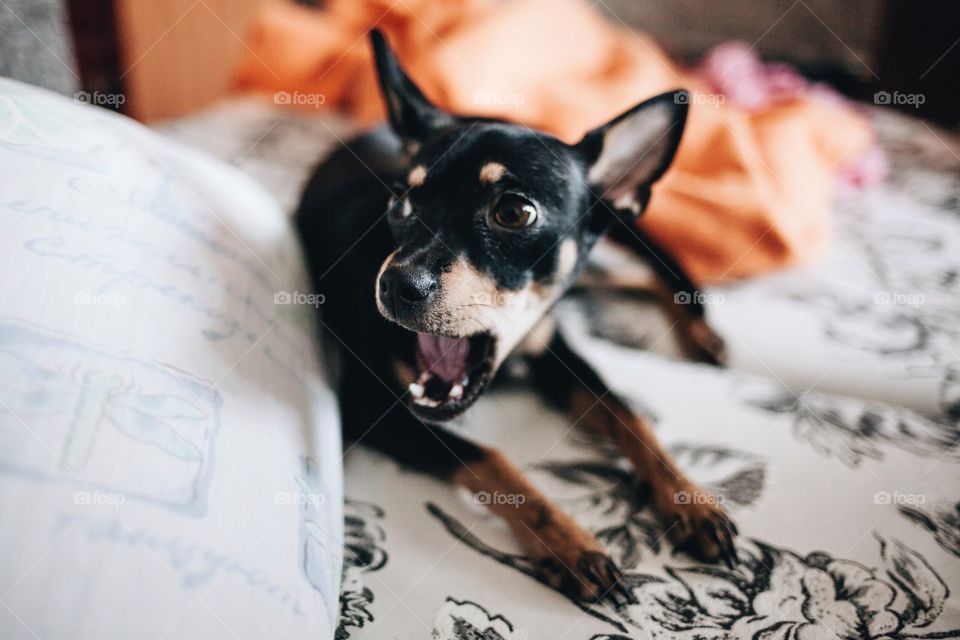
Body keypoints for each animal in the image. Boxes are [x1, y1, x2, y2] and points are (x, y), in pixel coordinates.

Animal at [296, 31, 740, 604]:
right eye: (400, 204)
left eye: (514, 213)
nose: (394, 283)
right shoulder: (373, 408)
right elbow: (492, 459)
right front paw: (571, 545)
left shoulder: (555, 351)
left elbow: (626, 414)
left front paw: (688, 500)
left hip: (591, 268)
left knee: (641, 275)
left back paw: (703, 335)